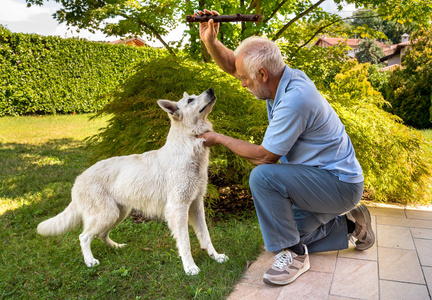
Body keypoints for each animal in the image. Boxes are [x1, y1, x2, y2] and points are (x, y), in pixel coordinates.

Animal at [36, 88, 228, 276]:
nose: (211, 90)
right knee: (84, 237)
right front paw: (189, 267)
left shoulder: (196, 205)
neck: (188, 147)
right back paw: (90, 261)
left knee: (101, 235)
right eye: (190, 100)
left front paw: (216, 257)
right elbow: (185, 242)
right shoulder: (178, 208)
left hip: (119, 213)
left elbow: (206, 236)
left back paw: (116, 247)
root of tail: (78, 179)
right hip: (107, 215)